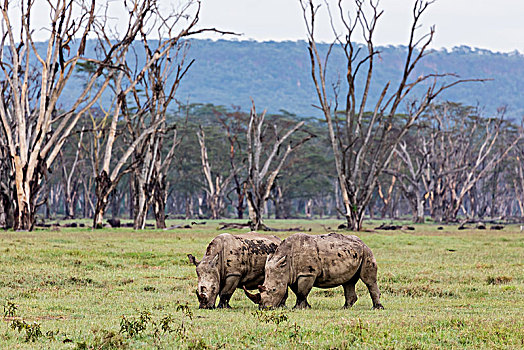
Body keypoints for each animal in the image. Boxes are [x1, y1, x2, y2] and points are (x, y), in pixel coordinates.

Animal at [244, 232, 382, 308]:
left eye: (273, 290)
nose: (263, 308)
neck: (286, 261)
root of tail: (361, 241)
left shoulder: (307, 273)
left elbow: (301, 292)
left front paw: (297, 308)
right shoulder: (293, 274)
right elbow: (298, 291)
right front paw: (306, 306)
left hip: (366, 251)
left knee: (368, 280)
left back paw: (377, 308)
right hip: (354, 253)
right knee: (348, 282)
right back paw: (345, 308)